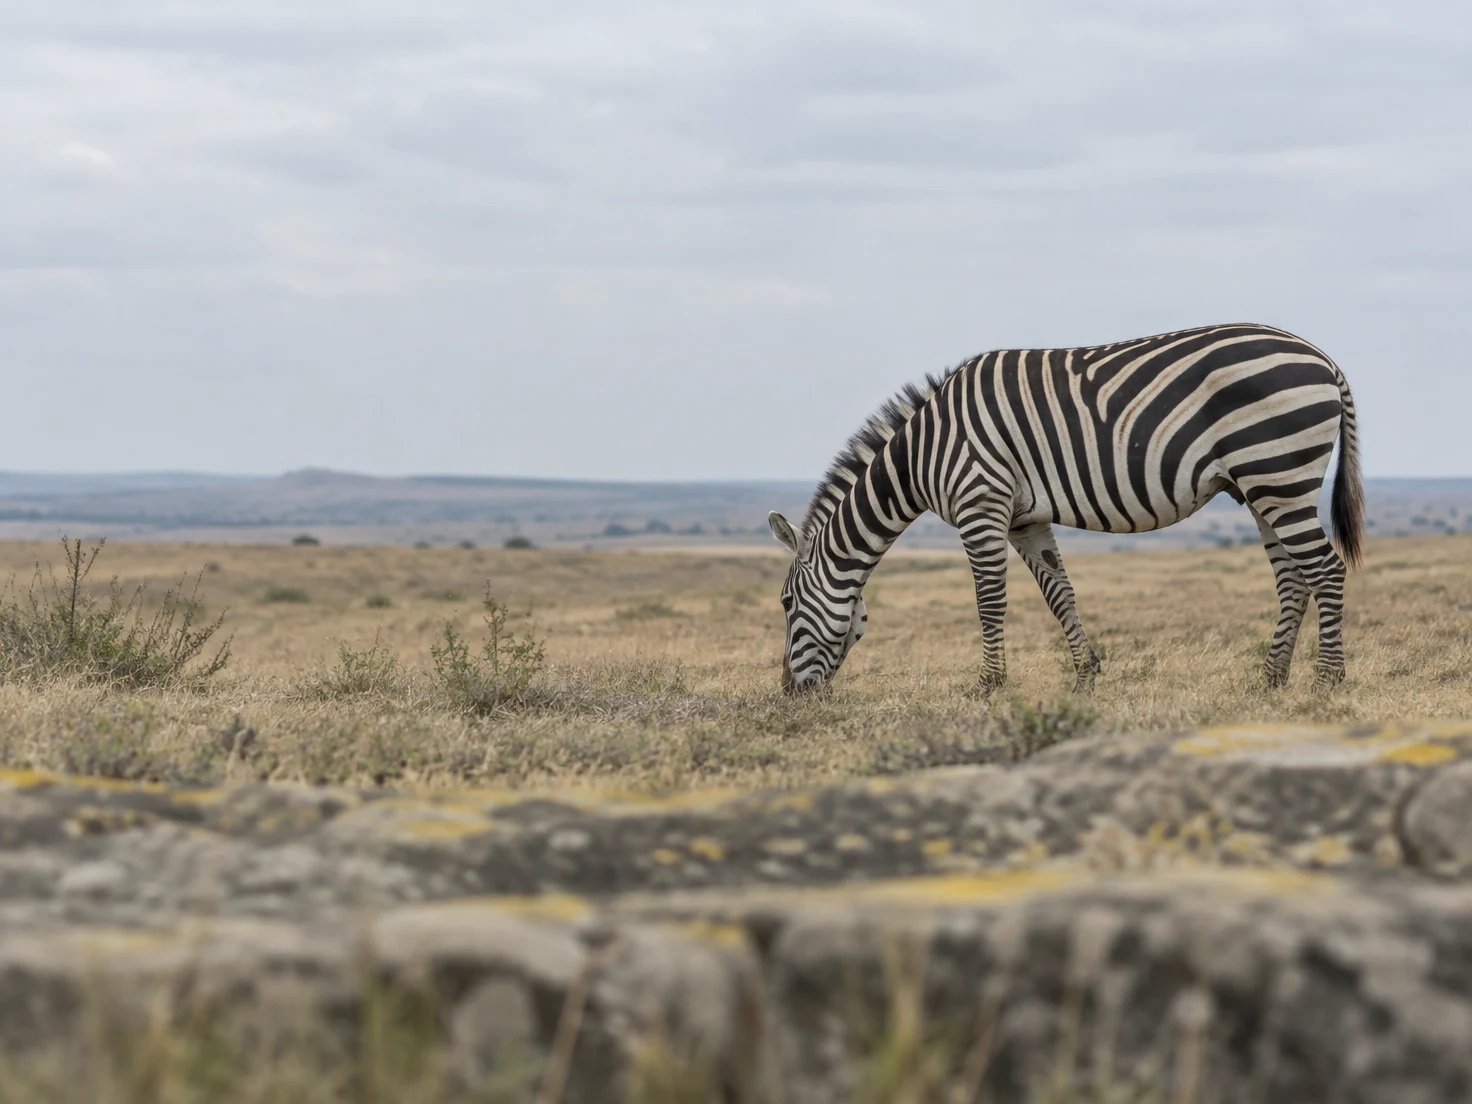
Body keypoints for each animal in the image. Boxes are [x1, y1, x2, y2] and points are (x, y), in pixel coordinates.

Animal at [768, 322, 1364, 694]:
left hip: (1277, 471)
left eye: (786, 603)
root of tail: (1323, 357)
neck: (921, 454)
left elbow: (989, 602)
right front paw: (1086, 674)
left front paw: (989, 684)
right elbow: (1059, 594)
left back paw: (1327, 679)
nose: (789, 694)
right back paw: (1271, 678)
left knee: (1326, 569)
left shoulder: (980, 503)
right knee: (1293, 578)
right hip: (1265, 484)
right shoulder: (1024, 519)